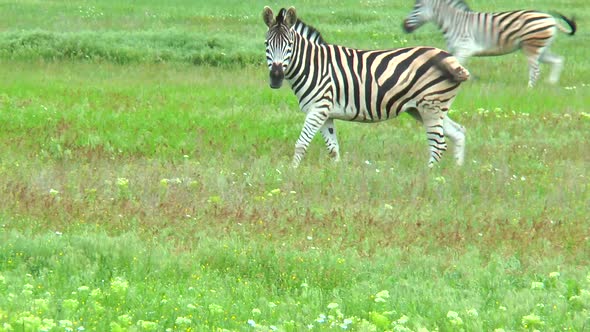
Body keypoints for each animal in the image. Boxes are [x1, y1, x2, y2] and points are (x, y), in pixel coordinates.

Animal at [264, 6, 472, 169]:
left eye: (289, 45)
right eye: (267, 44)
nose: (275, 77)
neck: (314, 66)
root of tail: (452, 59)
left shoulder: (318, 109)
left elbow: (301, 143)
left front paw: (291, 172)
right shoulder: (325, 113)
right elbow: (333, 148)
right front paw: (337, 174)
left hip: (431, 106)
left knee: (438, 144)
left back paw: (429, 177)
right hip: (422, 109)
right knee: (458, 133)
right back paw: (455, 173)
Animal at [402, 0, 580, 87]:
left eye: (416, 7)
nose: (403, 26)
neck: (454, 22)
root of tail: (551, 19)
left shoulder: (465, 48)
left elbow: (457, 67)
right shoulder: (455, 50)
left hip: (532, 46)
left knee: (535, 70)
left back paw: (529, 89)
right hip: (542, 49)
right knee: (558, 61)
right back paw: (551, 84)